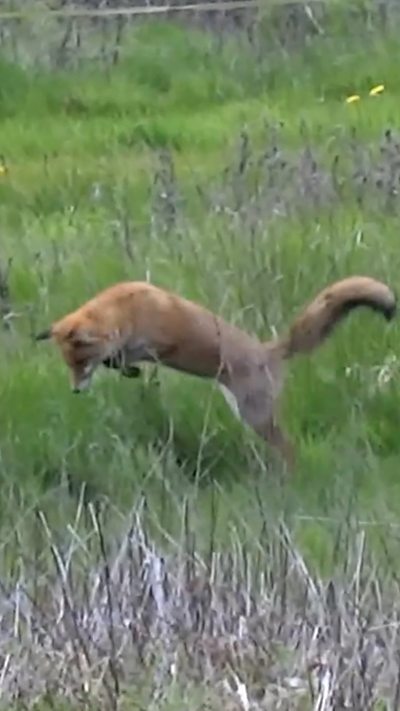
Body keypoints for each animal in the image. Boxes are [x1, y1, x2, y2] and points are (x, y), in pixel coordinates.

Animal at [35, 276, 396, 469]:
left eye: (79, 364)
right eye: (69, 365)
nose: (75, 391)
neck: (125, 310)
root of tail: (269, 350)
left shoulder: (158, 343)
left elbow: (127, 355)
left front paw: (127, 368)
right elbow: (119, 359)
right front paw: (128, 371)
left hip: (256, 416)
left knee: (289, 449)